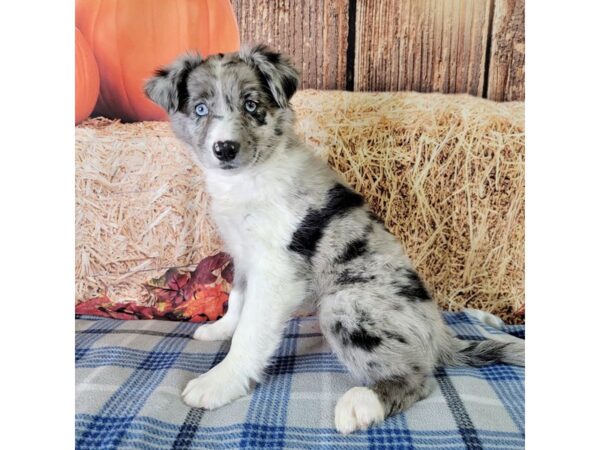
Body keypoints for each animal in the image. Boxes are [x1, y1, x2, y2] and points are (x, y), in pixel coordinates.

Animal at [143, 44, 524, 432]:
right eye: (200, 109)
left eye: (251, 105)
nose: (225, 149)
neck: (249, 177)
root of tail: (439, 333)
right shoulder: (243, 253)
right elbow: (237, 299)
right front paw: (220, 329)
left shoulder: (276, 270)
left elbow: (250, 332)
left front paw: (219, 382)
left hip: (345, 304)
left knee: (418, 378)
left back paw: (363, 403)